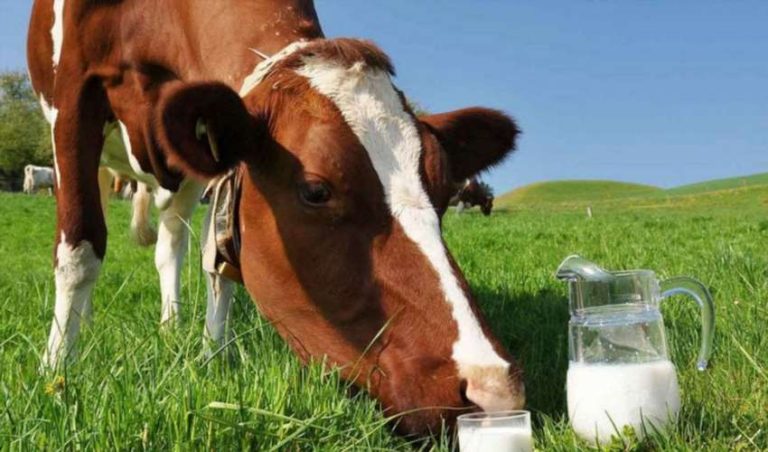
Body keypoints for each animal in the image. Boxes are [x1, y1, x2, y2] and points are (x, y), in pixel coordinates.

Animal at [28, 0, 523, 434]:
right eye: (316, 190)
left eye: (442, 189)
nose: (492, 388)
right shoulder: (73, 95)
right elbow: (80, 246)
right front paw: (57, 371)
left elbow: (218, 262)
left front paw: (213, 356)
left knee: (171, 245)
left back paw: (171, 327)